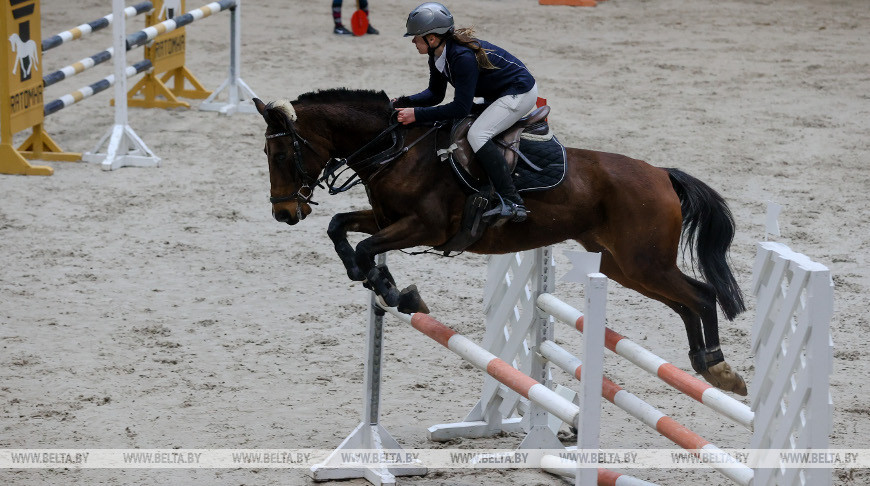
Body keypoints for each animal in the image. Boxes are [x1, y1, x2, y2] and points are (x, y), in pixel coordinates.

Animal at [252, 90, 748, 394]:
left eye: (280, 153)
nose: (284, 213)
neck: (396, 149)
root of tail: (662, 174)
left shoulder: (426, 227)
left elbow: (364, 247)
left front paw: (392, 289)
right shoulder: (387, 218)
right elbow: (341, 229)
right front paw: (382, 284)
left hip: (644, 262)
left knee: (701, 295)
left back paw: (718, 367)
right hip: (621, 265)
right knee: (684, 303)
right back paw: (704, 364)